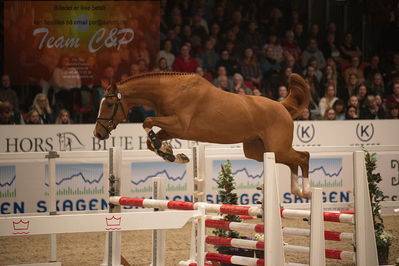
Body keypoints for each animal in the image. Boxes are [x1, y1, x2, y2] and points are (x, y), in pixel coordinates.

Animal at [94, 72, 312, 197]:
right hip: (259, 152)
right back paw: (297, 191)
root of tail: (281, 106)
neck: (170, 90)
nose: (98, 133)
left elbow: (147, 122)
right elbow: (151, 141)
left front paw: (168, 151)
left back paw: (307, 191)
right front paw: (173, 155)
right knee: (294, 161)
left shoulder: (180, 125)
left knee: (303, 156)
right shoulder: (171, 128)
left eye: (110, 104)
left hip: (277, 148)